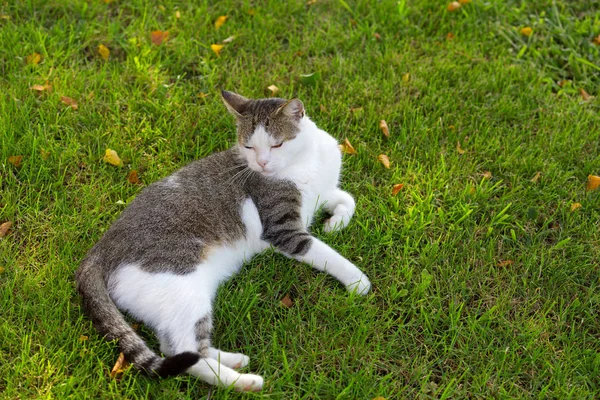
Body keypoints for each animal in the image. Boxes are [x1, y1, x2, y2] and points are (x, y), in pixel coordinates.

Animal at [75, 90, 370, 390]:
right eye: (249, 147)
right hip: (181, 285)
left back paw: (234, 359)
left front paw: (335, 223)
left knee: (182, 348)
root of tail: (98, 252)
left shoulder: (321, 194)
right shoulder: (284, 229)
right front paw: (358, 281)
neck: (305, 161)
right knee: (184, 353)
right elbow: (326, 253)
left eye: (276, 145)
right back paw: (244, 381)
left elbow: (347, 199)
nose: (262, 163)